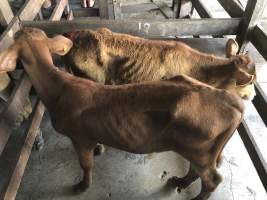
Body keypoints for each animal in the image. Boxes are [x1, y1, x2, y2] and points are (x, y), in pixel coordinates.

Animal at [0, 28, 245, 200]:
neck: (60, 88)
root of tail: (231, 100)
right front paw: (99, 149)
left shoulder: (79, 137)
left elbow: (86, 165)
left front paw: (82, 186)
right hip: (200, 151)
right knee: (195, 171)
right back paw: (180, 183)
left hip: (200, 151)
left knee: (212, 179)